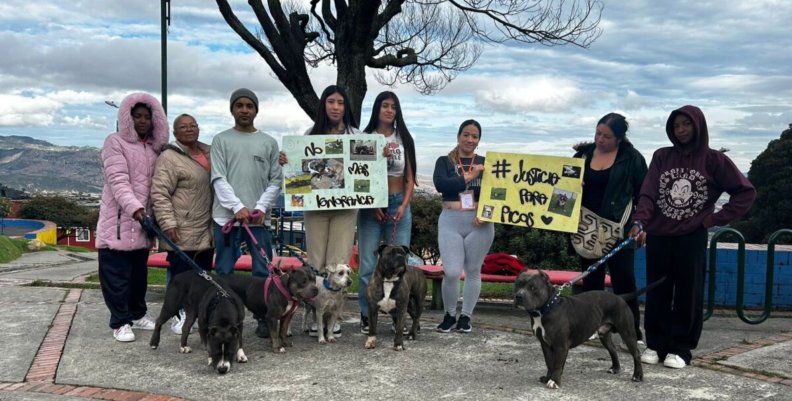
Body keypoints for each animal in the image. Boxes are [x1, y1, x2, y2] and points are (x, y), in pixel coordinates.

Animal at [512, 268, 664, 388]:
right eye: (517, 284)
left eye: (533, 287)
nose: (518, 296)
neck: (545, 309)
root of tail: (620, 297)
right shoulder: (545, 345)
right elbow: (549, 362)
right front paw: (548, 378)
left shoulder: (561, 346)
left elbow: (557, 364)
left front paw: (554, 381)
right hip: (604, 335)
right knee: (613, 350)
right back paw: (615, 369)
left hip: (627, 332)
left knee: (636, 354)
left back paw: (637, 376)